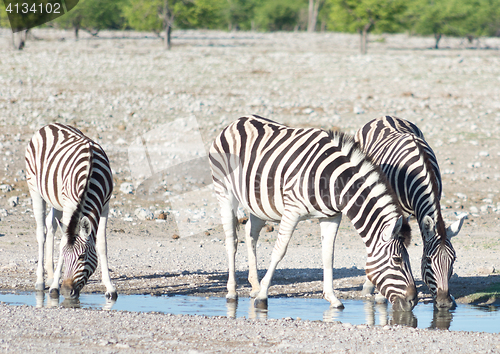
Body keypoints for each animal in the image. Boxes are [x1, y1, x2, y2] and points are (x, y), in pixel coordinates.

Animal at [25, 123, 117, 300]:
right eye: (65, 256)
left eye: (81, 257)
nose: (67, 291)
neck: (90, 174)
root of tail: (49, 125)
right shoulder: (70, 204)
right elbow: (62, 242)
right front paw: (55, 287)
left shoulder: (105, 206)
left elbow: (102, 245)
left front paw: (110, 288)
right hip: (35, 189)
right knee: (41, 232)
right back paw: (41, 281)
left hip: (56, 200)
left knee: (51, 225)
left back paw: (51, 276)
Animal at [208, 115, 418, 310]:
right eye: (397, 260)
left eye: (408, 259)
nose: (413, 300)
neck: (334, 181)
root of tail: (236, 121)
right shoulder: (292, 210)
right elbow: (279, 251)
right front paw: (263, 296)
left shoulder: (331, 216)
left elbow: (328, 255)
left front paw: (332, 298)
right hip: (225, 192)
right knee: (232, 241)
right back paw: (233, 291)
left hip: (258, 202)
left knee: (250, 233)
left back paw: (254, 286)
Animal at [356, 117, 464, 310]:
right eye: (428, 260)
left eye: (453, 260)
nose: (445, 303)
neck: (419, 173)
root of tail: (384, 116)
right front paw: (381, 294)